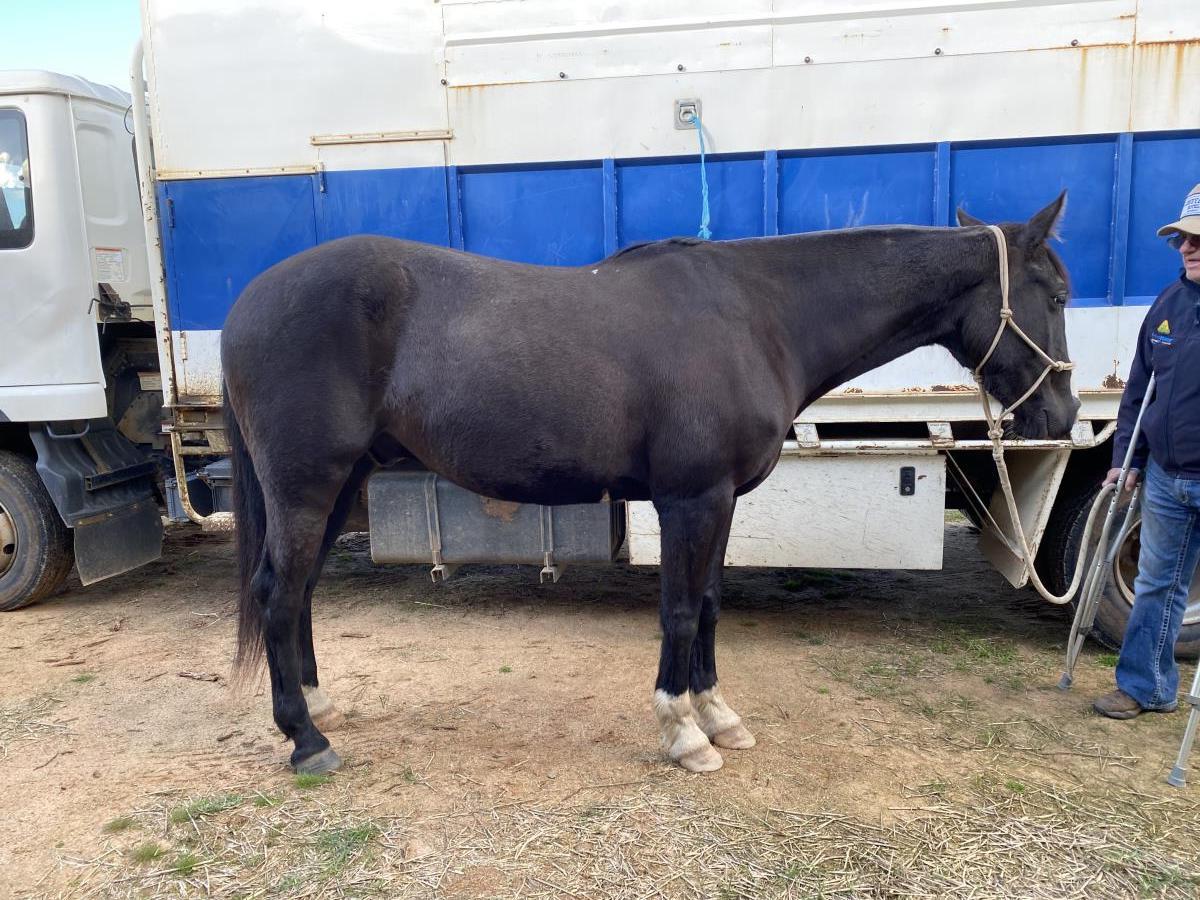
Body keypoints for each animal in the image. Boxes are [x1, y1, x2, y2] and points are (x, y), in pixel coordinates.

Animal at [222, 193, 1078, 775]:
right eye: (1058, 295)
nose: (1063, 414)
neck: (758, 316)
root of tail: (247, 303)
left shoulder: (723, 500)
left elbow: (709, 605)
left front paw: (719, 714)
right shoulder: (689, 499)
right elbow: (677, 610)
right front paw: (683, 732)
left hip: (341, 484)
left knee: (299, 590)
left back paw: (318, 708)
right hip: (308, 486)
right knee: (277, 591)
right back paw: (306, 740)